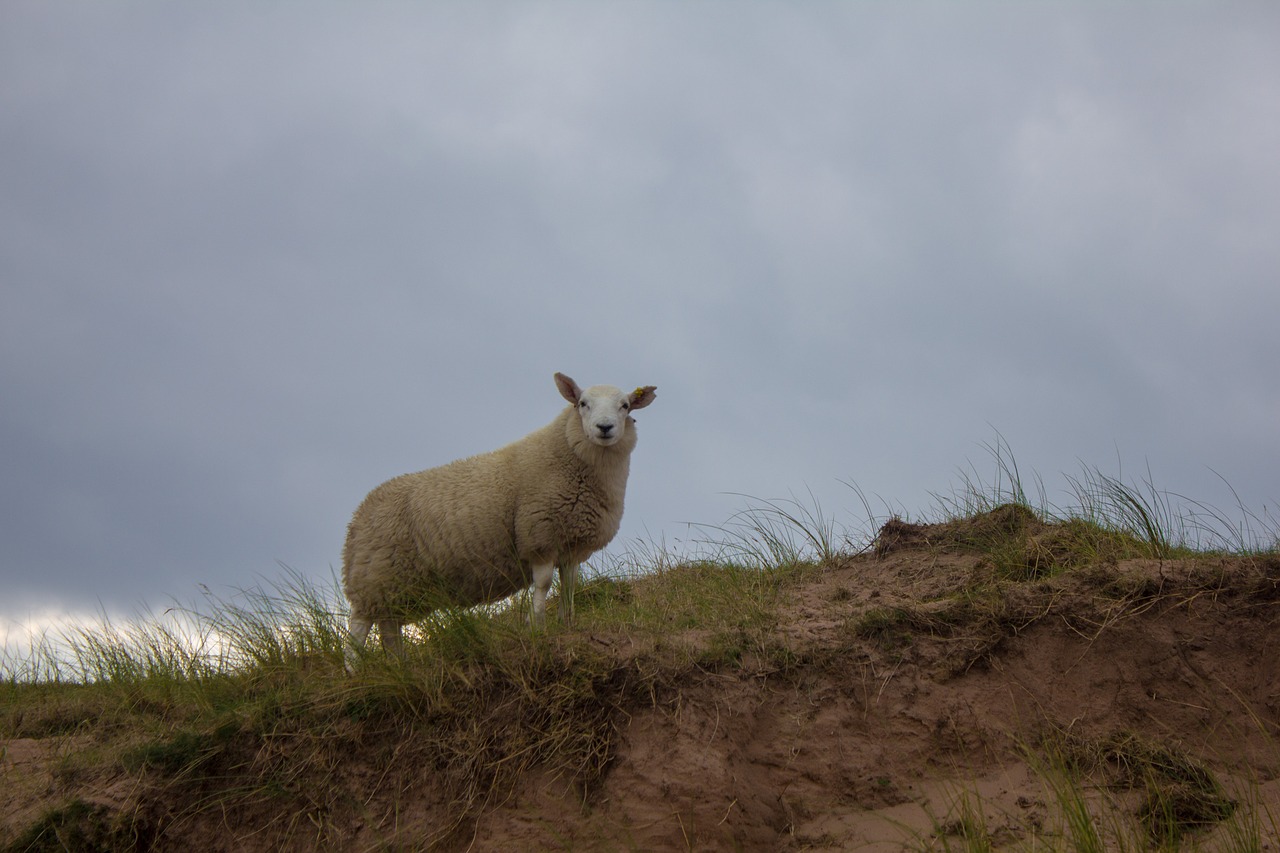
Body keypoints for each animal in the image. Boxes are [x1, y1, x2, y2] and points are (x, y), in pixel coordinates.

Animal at [340, 371, 655, 666]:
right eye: (582, 404)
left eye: (625, 406)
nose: (605, 428)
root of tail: (358, 516)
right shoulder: (539, 535)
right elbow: (543, 585)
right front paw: (537, 626)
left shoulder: (571, 545)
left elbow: (569, 587)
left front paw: (567, 624)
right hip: (374, 577)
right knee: (357, 631)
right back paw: (354, 672)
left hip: (397, 587)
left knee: (389, 629)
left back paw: (400, 666)